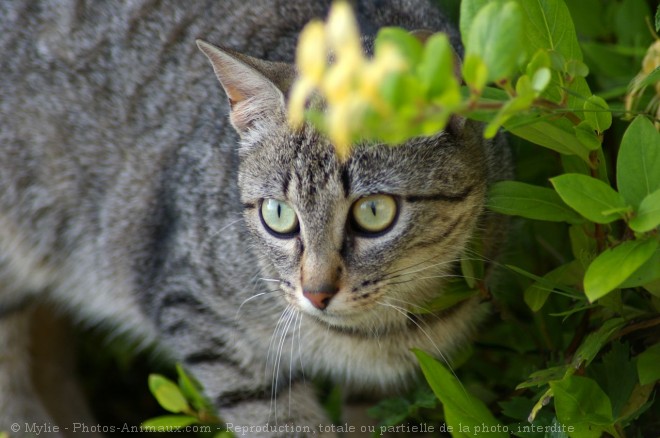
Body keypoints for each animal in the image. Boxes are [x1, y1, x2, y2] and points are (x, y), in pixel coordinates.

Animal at [0, 0, 510, 434]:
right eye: (278, 215)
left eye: (373, 212)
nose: (317, 293)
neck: (371, 334)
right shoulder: (200, 313)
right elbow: (282, 423)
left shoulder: (386, 388)